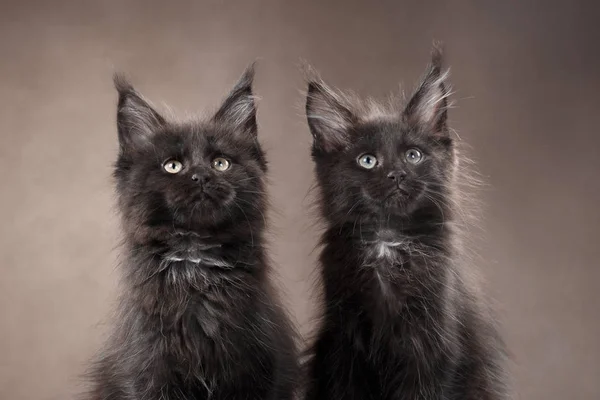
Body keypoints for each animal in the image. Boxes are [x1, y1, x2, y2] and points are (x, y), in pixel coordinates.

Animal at [83, 66, 298, 400]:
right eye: (172, 166)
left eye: (220, 163)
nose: (201, 176)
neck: (195, 264)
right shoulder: (148, 371)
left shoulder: (261, 368)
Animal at [302, 47, 508, 400]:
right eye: (367, 161)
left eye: (413, 155)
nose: (396, 174)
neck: (387, 242)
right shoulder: (343, 347)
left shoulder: (430, 347)